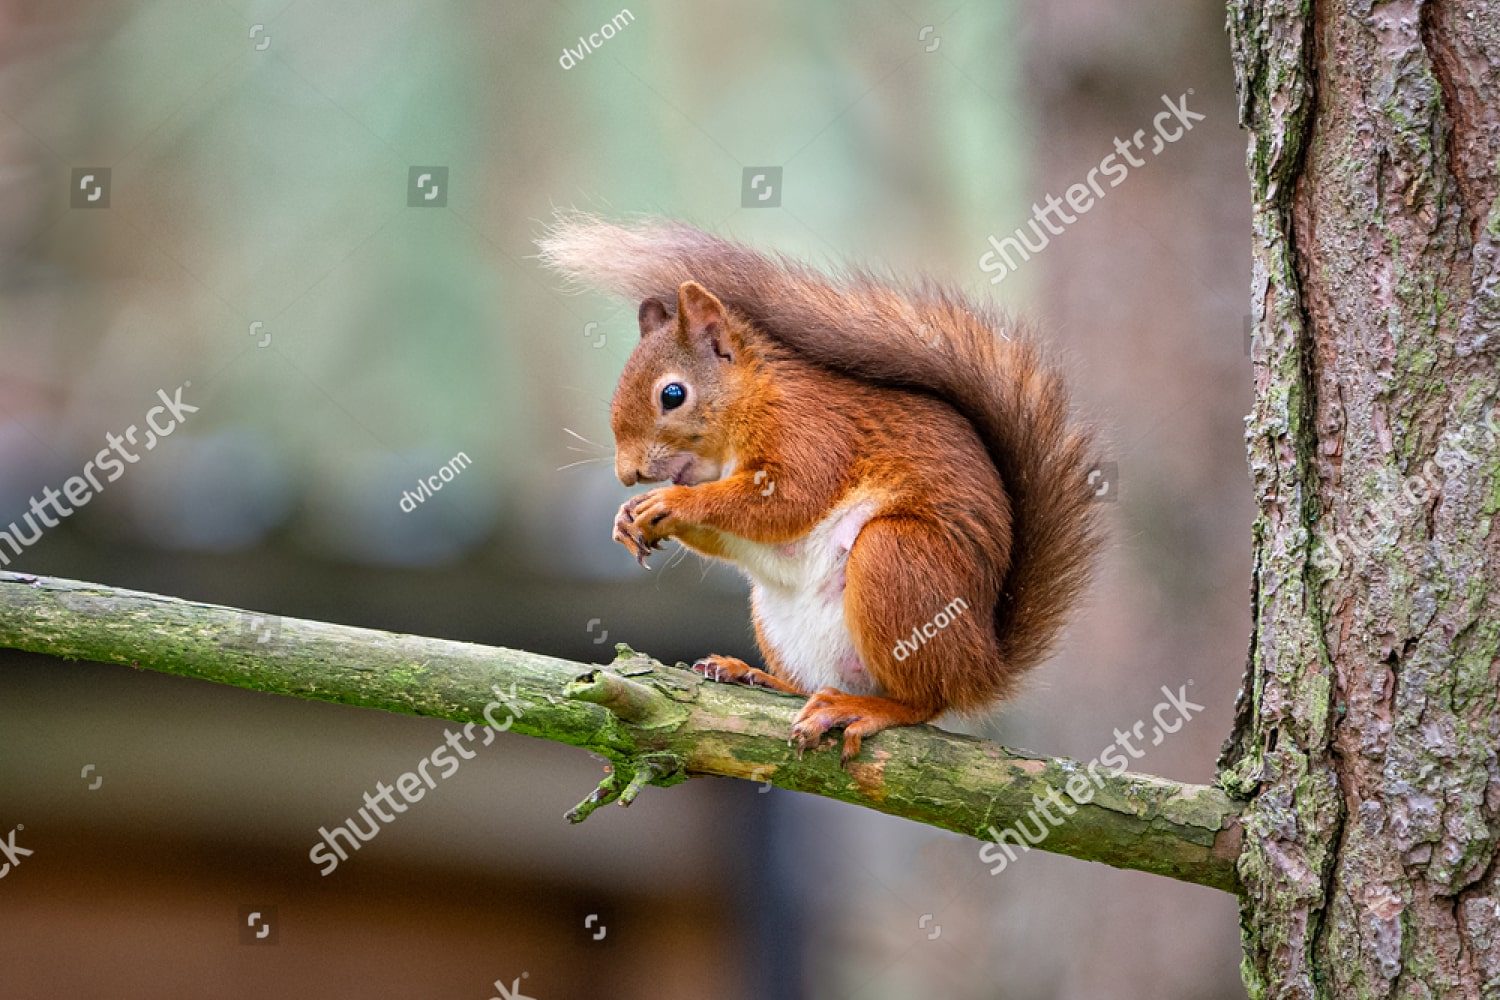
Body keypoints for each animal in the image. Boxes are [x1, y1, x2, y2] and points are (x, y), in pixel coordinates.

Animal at [540, 216, 1101, 762]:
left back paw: (863, 708)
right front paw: (627, 516)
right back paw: (755, 675)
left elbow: (789, 500)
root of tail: (982, 665)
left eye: (673, 394)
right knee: (811, 682)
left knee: (924, 700)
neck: (751, 399)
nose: (627, 474)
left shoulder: (811, 433)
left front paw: (672, 503)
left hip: (896, 560)